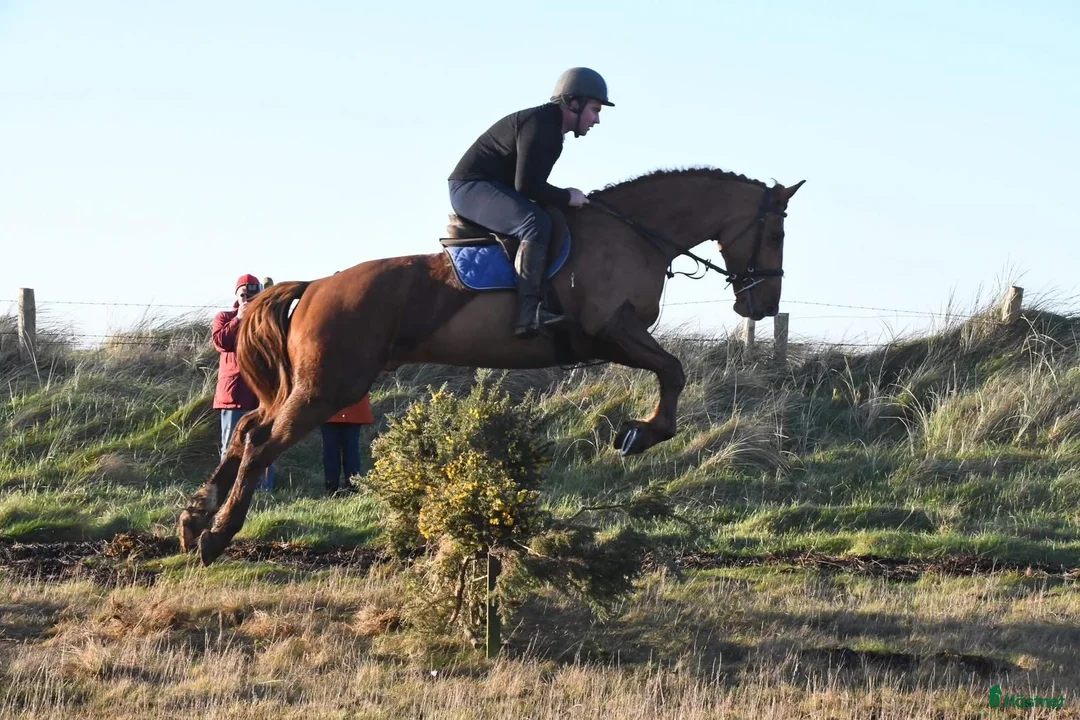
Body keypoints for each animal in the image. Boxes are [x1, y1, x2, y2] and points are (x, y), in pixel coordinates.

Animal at [180, 167, 804, 565]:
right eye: (776, 232)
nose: (761, 306)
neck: (633, 233)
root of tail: (314, 287)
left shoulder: (616, 338)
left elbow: (670, 372)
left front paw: (639, 432)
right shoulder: (613, 330)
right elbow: (673, 372)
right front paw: (639, 434)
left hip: (311, 386)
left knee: (247, 430)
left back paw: (194, 520)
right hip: (331, 386)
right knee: (261, 443)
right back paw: (216, 537)